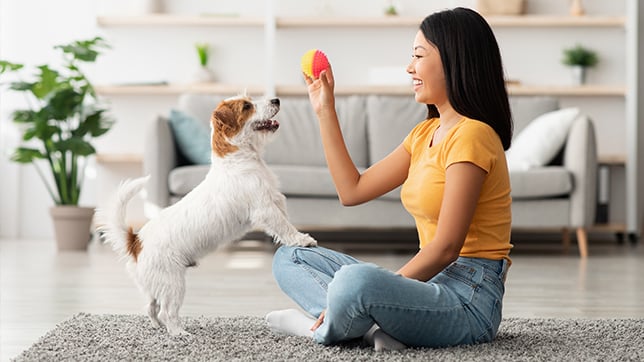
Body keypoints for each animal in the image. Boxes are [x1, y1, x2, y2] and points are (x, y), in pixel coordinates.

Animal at [95, 94, 316, 336]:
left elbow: (285, 221)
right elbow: (284, 227)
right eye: (247, 106)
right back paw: (179, 333)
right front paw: (303, 240)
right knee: (166, 312)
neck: (237, 159)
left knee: (151, 307)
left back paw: (158, 326)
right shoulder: (266, 209)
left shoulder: (276, 201)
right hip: (173, 283)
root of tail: (135, 241)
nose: (276, 100)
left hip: (156, 285)